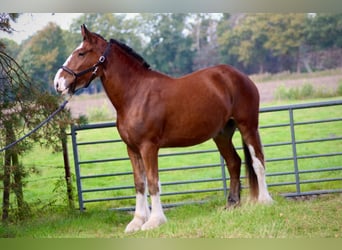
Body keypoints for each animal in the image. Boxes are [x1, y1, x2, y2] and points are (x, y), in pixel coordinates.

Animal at [54, 24, 272, 232]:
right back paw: (232, 205)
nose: (57, 83)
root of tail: (238, 75)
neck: (135, 94)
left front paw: (154, 221)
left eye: (81, 53)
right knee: (234, 163)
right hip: (222, 134)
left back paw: (264, 201)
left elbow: (152, 182)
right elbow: (139, 183)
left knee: (258, 161)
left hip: (248, 126)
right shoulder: (132, 149)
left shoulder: (148, 147)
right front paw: (137, 221)